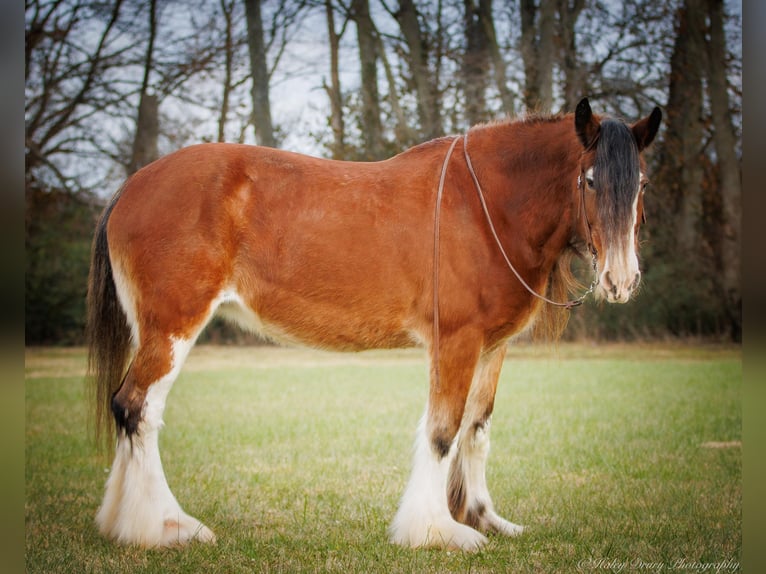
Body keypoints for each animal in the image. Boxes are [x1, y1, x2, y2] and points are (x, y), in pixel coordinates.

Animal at [85, 99, 660, 552]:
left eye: (642, 183)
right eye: (590, 180)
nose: (621, 279)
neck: (484, 208)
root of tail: (131, 186)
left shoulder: (493, 347)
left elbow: (476, 430)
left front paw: (483, 519)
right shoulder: (456, 341)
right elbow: (442, 432)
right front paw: (436, 532)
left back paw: (123, 524)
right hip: (172, 328)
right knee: (137, 408)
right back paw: (165, 527)